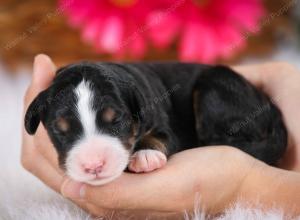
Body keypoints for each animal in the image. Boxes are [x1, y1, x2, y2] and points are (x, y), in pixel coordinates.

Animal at [24, 62, 288, 186]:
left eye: (116, 120)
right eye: (60, 129)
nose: (94, 165)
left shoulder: (162, 122)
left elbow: (159, 137)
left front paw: (145, 156)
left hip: (215, 86)